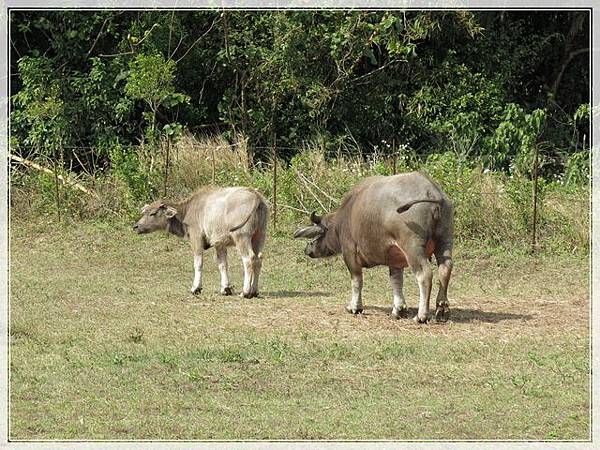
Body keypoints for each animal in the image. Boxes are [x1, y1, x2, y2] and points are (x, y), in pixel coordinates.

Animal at [136, 186, 270, 298]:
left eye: (152, 213)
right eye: (144, 212)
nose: (136, 226)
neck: (187, 211)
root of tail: (256, 197)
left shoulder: (196, 238)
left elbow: (198, 264)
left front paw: (195, 288)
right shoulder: (219, 243)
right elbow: (222, 264)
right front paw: (225, 288)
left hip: (242, 236)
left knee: (248, 259)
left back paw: (246, 292)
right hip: (260, 235)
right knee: (258, 259)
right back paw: (254, 291)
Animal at [292, 172, 452, 324]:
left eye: (318, 234)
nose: (308, 249)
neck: (344, 219)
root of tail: (432, 192)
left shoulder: (350, 253)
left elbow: (356, 280)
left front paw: (354, 307)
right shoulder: (395, 258)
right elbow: (396, 281)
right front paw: (398, 310)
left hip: (413, 247)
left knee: (424, 275)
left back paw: (421, 315)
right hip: (445, 240)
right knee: (445, 269)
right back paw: (442, 309)